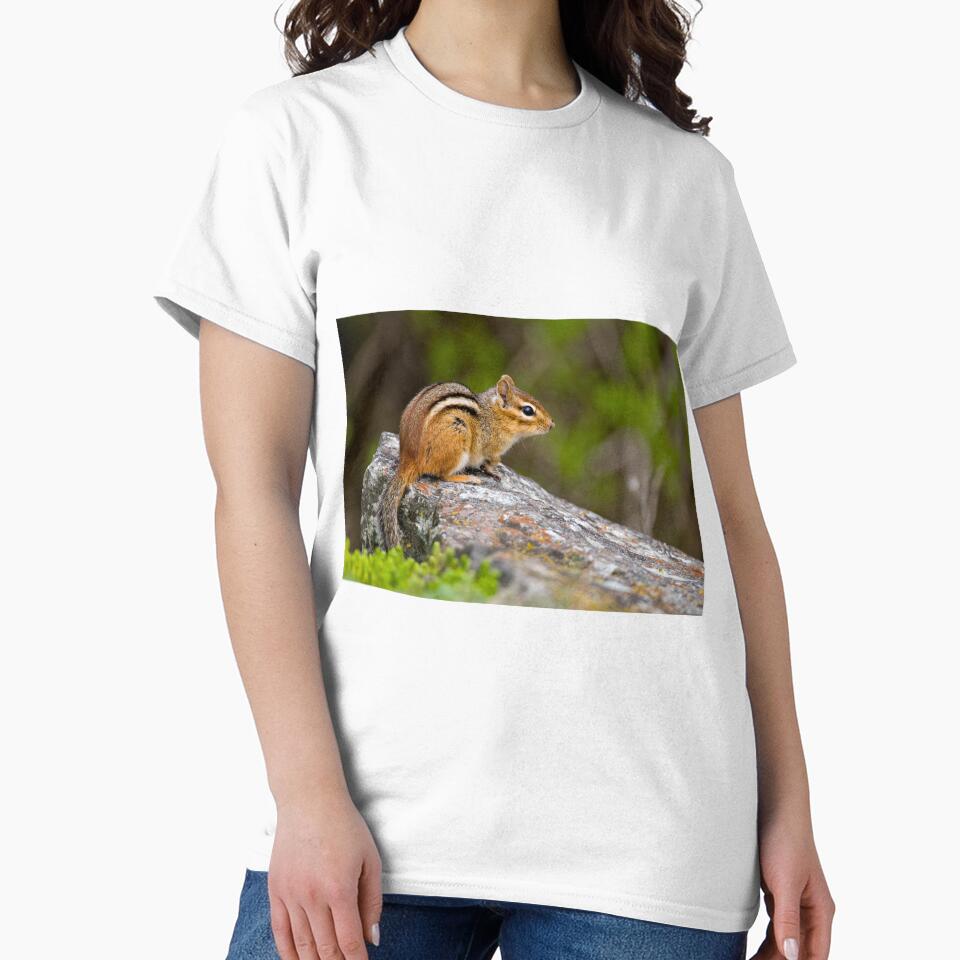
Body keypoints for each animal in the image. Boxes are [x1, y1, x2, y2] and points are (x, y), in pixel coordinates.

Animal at [380, 375, 554, 551]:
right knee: (442, 475)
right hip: (457, 439)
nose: (551, 424)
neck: (494, 415)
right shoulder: (491, 449)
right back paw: (467, 478)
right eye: (528, 410)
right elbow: (491, 462)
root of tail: (408, 458)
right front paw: (492, 471)